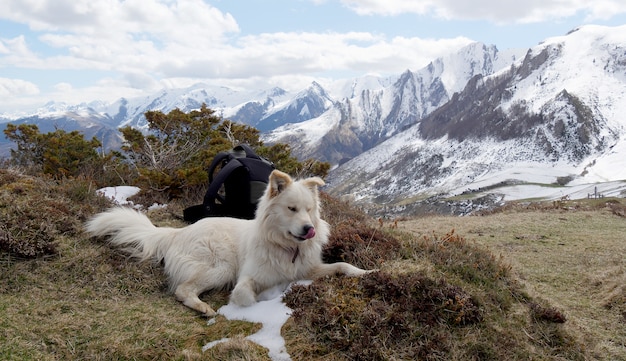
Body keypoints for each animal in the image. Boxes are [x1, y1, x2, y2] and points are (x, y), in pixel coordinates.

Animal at [88, 170, 370, 314]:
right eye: (291, 208)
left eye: (309, 209)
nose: (309, 229)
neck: (285, 247)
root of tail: (176, 233)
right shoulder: (247, 277)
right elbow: (245, 295)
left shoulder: (308, 270)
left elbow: (343, 265)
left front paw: (365, 272)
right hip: (221, 266)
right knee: (182, 290)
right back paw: (203, 307)